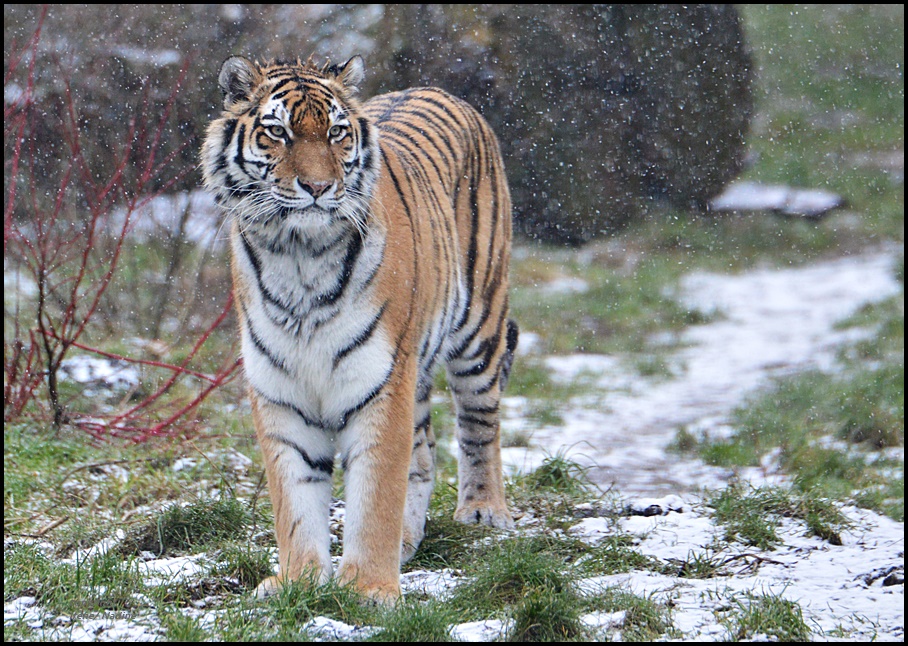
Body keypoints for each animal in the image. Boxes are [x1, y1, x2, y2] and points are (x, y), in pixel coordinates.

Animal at [204, 53, 516, 604]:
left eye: (336, 133)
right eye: (277, 132)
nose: (317, 188)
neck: (298, 257)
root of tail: (440, 89)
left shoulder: (380, 383)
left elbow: (375, 495)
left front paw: (369, 589)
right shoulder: (281, 391)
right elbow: (295, 500)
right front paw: (299, 581)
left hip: (478, 329)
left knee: (480, 422)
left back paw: (483, 510)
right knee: (424, 453)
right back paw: (409, 541)